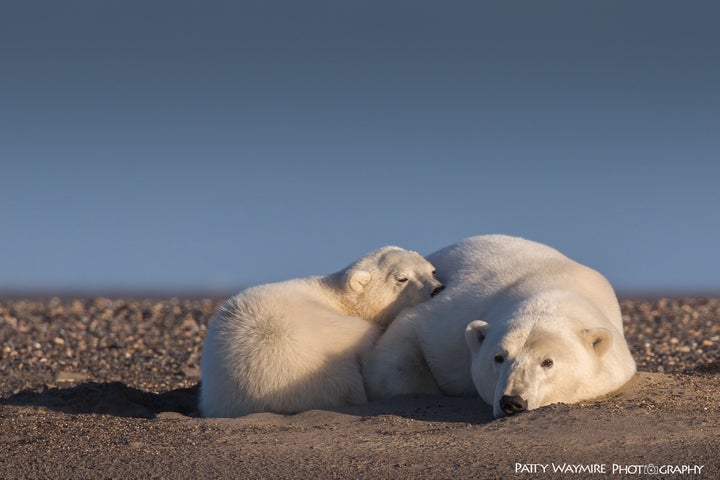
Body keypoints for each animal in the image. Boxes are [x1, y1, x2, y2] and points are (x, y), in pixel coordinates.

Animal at [366, 235, 636, 416]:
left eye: (548, 362)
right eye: (499, 357)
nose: (513, 402)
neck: (549, 289)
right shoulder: (450, 323)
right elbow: (406, 334)